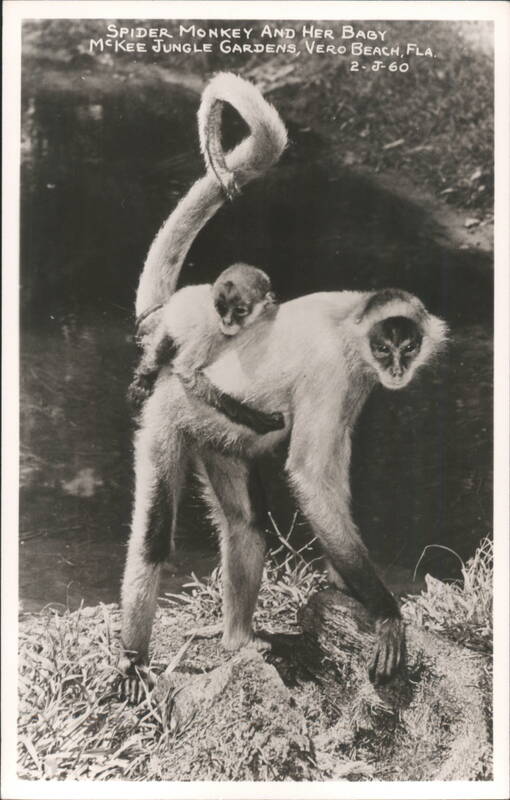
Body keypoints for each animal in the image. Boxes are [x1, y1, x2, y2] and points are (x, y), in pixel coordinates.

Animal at [118, 73, 448, 701]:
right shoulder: (336, 369)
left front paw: (347, 588)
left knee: (247, 528)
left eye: (408, 345)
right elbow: (311, 476)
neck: (353, 326)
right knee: (152, 539)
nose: (396, 365)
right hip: (170, 413)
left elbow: (327, 479)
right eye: (385, 346)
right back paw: (132, 661)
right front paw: (385, 610)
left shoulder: (357, 382)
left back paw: (237, 642)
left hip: (218, 441)